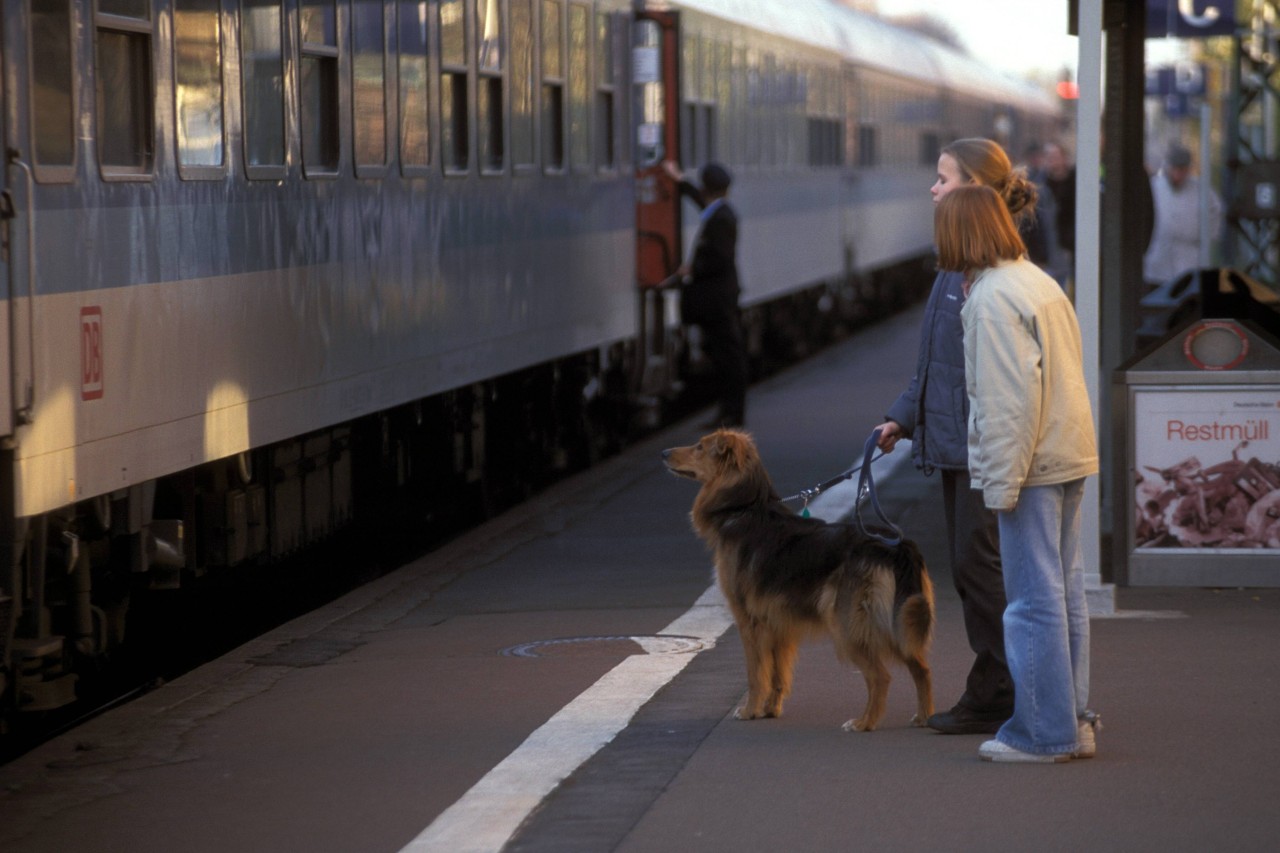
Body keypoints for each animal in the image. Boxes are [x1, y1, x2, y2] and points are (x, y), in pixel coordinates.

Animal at [665, 427, 936, 727]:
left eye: (700, 447)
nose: (663, 453)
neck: (745, 508)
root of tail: (898, 547)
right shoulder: (777, 622)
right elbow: (777, 673)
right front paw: (770, 709)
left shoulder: (749, 620)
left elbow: (755, 673)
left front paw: (749, 710)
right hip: (896, 621)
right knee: (921, 669)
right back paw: (924, 716)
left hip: (848, 623)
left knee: (881, 676)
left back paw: (863, 723)